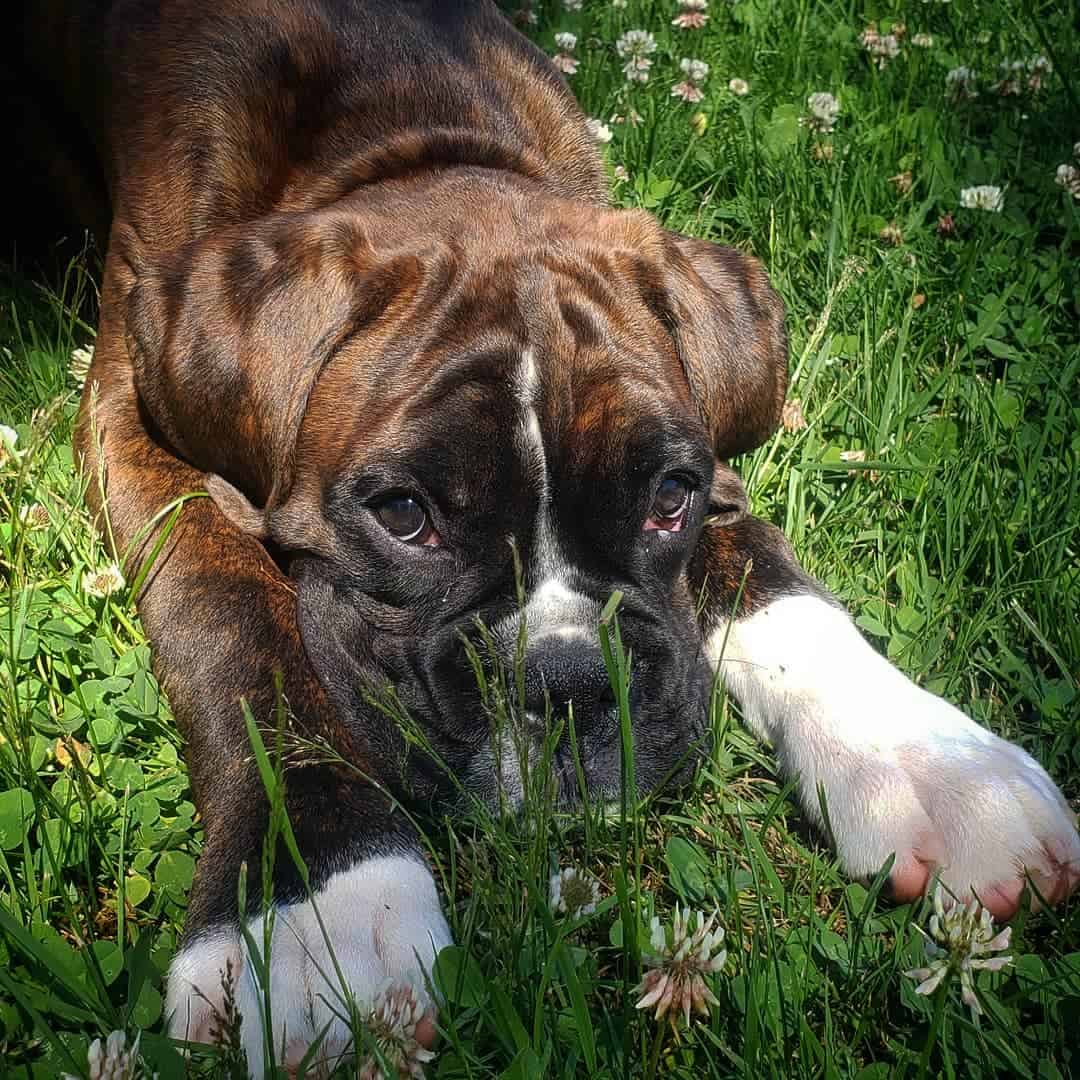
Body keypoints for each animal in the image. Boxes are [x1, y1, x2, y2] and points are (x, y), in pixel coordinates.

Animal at [12, 0, 1075, 1071]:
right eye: (405, 515)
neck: (402, 131)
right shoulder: (128, 418)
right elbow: (236, 624)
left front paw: (922, 754)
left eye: (670, 497)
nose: (572, 682)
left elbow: (760, 565)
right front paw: (321, 906)